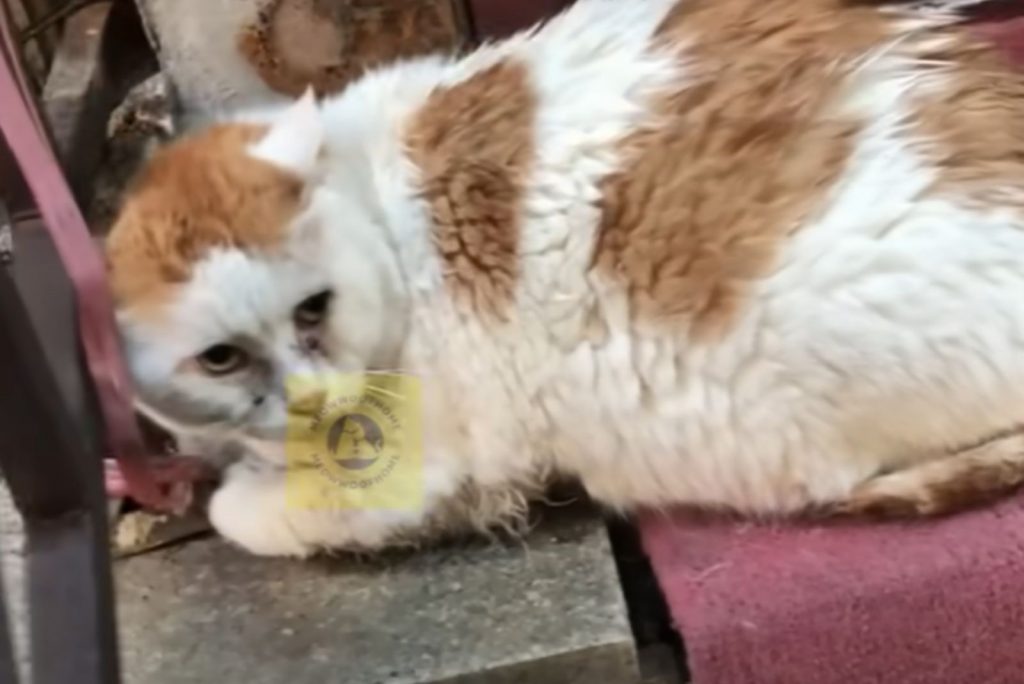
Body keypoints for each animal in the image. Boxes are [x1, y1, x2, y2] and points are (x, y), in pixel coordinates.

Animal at [105, 0, 1024, 557]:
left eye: (313, 309)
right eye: (220, 359)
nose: (311, 403)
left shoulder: (411, 470)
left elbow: (252, 513)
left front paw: (235, 491)